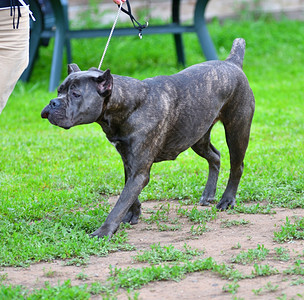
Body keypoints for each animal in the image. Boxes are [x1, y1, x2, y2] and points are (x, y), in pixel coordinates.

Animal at [40, 38, 254, 239]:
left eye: (75, 94)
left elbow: (120, 202)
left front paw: (104, 231)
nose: (53, 102)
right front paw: (132, 215)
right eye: (59, 90)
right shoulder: (129, 161)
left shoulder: (139, 170)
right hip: (197, 137)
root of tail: (232, 63)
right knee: (215, 157)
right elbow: (128, 194)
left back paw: (227, 200)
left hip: (236, 132)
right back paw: (209, 194)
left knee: (237, 166)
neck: (127, 105)